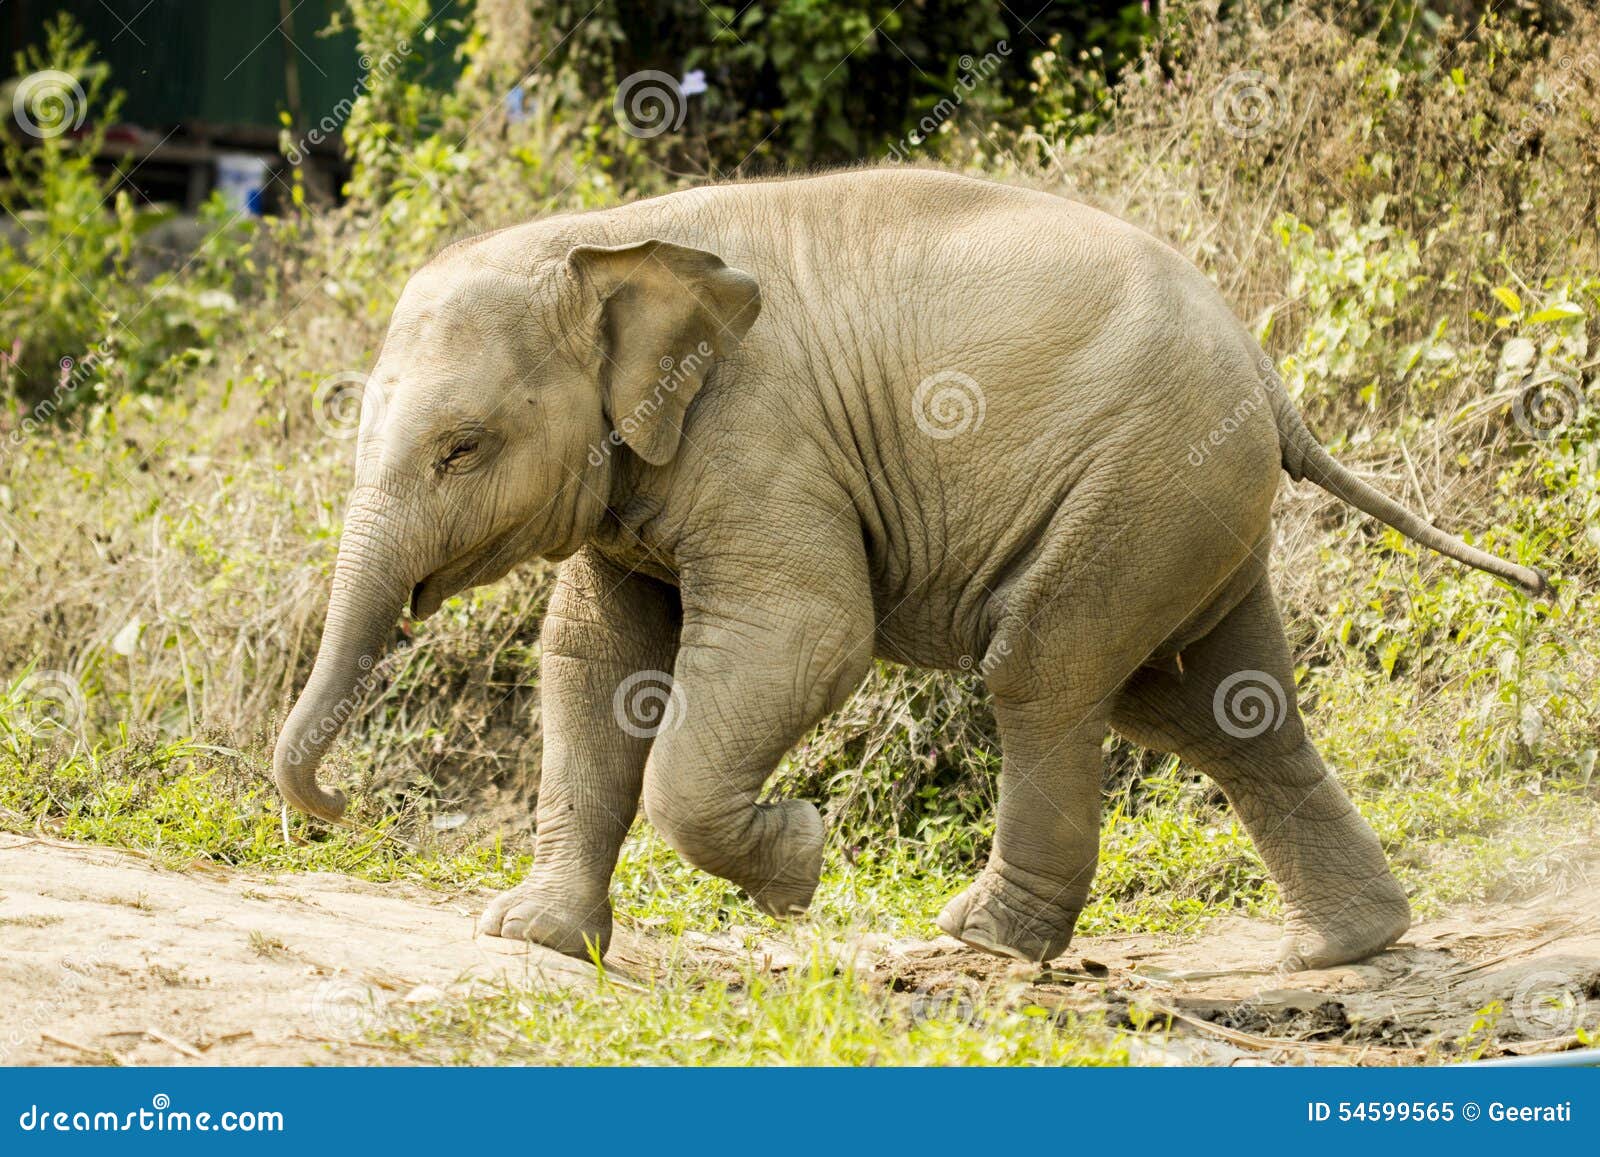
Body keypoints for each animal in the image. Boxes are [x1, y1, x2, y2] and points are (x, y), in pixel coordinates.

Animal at [273, 167, 1546, 970]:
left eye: (462, 446)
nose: (342, 808)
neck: (609, 234)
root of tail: (1273, 382)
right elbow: (595, 661)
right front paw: (529, 936)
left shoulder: (762, 442)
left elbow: (807, 631)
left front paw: (795, 866)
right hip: (1191, 502)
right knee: (1208, 705)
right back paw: (1344, 944)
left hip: (1142, 480)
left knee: (1045, 669)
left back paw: (978, 935)